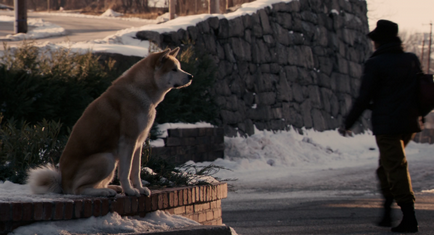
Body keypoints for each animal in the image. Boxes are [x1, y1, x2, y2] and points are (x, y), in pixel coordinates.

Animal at [25, 47, 192, 196]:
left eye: (179, 68)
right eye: (174, 69)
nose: (191, 76)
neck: (141, 90)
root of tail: (63, 184)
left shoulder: (138, 142)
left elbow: (136, 171)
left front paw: (140, 189)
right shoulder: (128, 142)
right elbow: (126, 172)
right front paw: (130, 191)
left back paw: (111, 188)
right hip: (107, 158)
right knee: (78, 189)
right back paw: (104, 192)